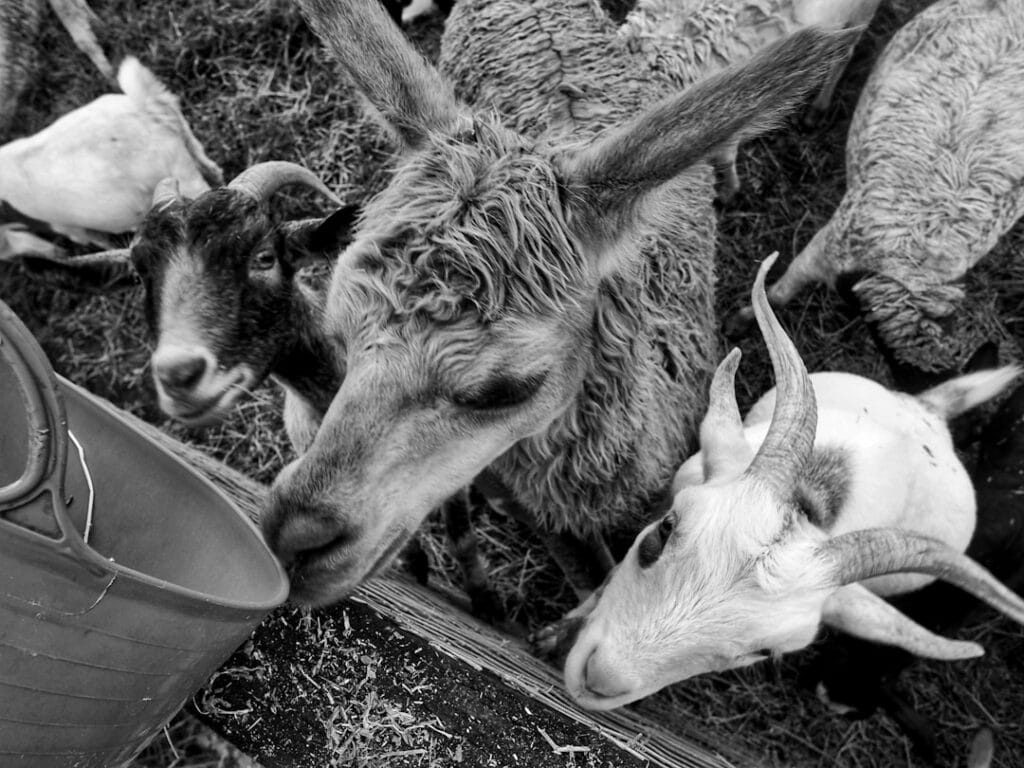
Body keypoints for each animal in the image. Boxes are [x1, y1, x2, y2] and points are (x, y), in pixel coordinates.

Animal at [0, 56, 222, 246]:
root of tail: (143, 108)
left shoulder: (68, 228)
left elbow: (94, 240)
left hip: (177, 169)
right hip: (186, 139)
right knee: (212, 168)